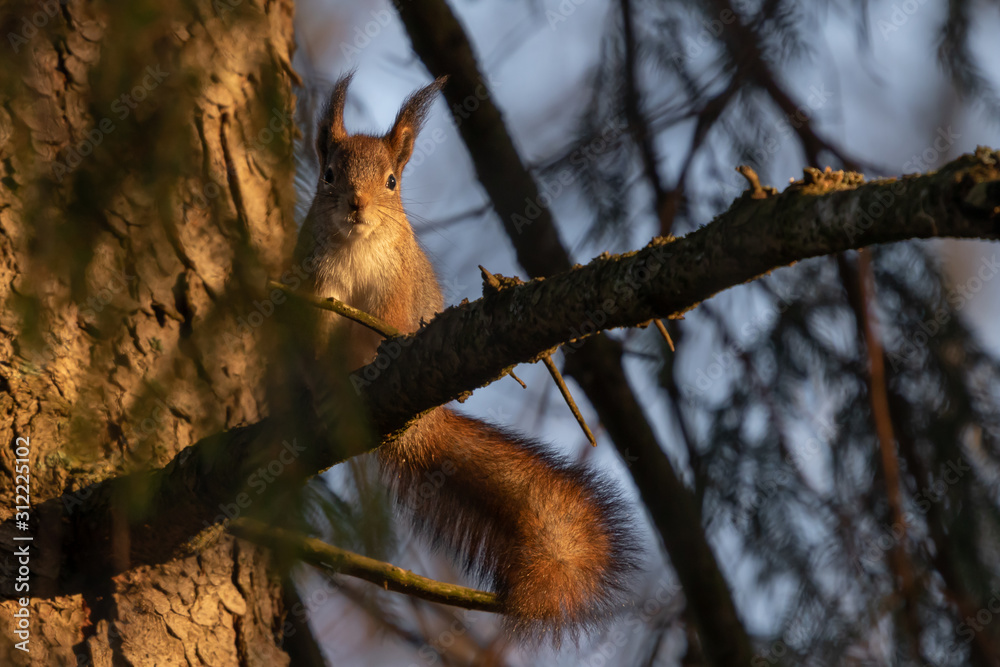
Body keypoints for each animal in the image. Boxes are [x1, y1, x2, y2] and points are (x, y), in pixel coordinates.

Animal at [292, 73, 636, 640]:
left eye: (392, 182)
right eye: (328, 174)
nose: (357, 205)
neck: (355, 246)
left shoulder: (398, 291)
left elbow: (392, 322)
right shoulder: (314, 293)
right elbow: (313, 347)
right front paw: (320, 388)